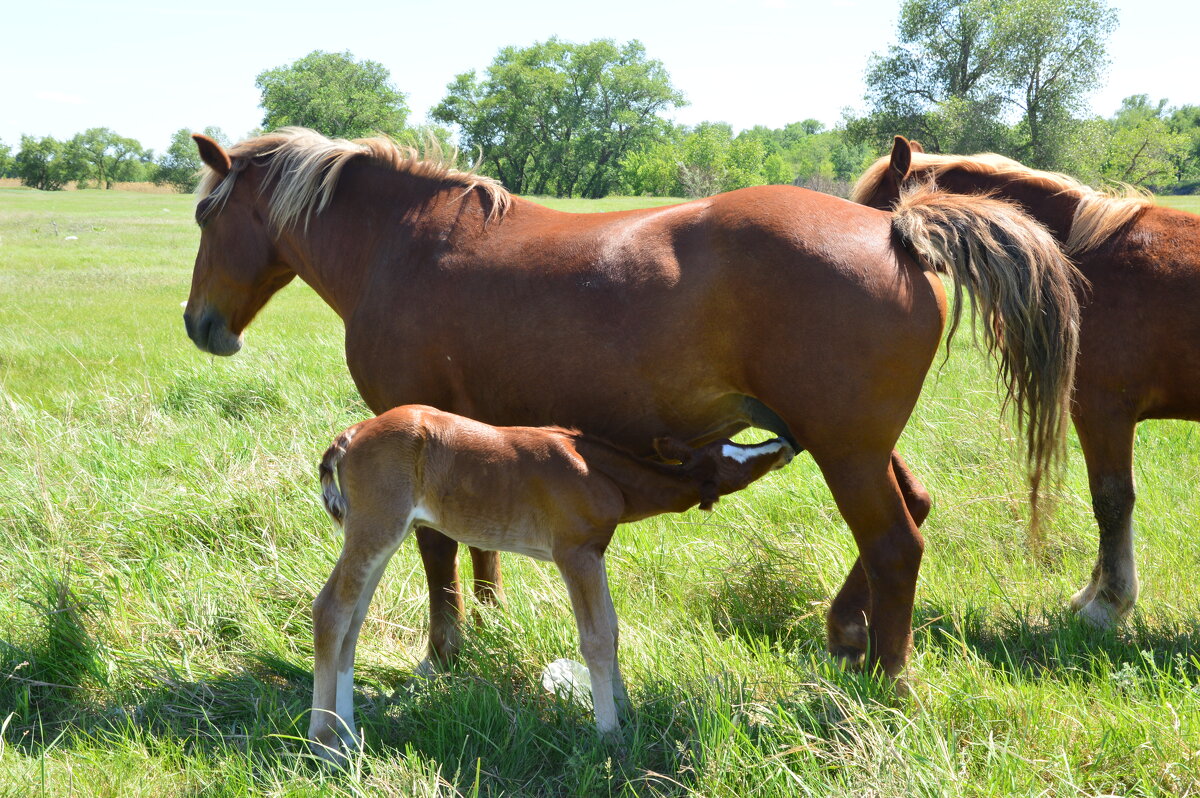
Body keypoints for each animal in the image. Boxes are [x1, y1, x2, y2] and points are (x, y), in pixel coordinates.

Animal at [184, 127, 1080, 676]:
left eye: (202, 212)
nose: (201, 324)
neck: (402, 243)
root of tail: (898, 232)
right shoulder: (470, 435)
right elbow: (478, 544)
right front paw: (490, 626)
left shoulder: (412, 428)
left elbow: (438, 550)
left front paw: (444, 651)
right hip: (853, 444)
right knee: (912, 512)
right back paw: (848, 634)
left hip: (846, 452)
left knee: (896, 545)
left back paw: (887, 683)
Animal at [314, 405, 792, 758]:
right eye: (733, 461)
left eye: (731, 444)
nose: (785, 444)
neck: (600, 472)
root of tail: (353, 433)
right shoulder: (574, 553)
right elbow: (596, 639)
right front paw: (611, 735)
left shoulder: (594, 553)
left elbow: (613, 631)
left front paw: (626, 711)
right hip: (377, 525)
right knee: (331, 609)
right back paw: (326, 743)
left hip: (383, 532)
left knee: (352, 620)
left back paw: (349, 733)